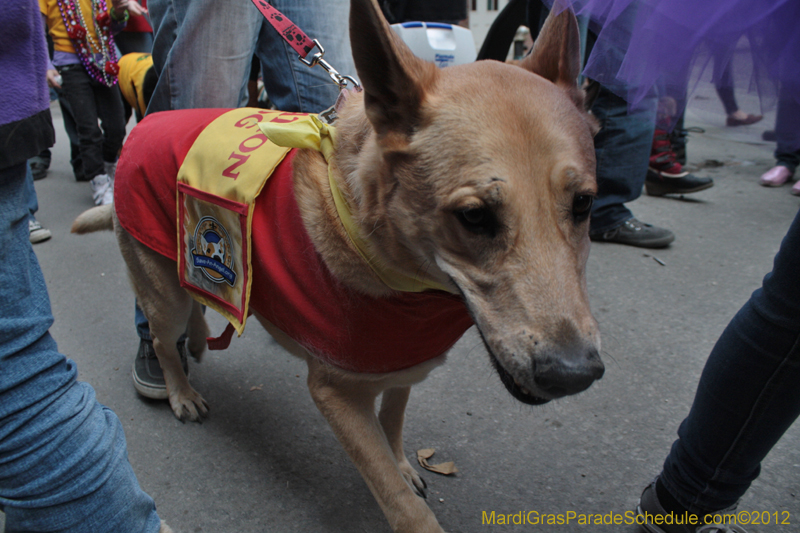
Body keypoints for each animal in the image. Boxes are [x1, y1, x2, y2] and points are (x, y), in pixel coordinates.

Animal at [73, 2, 600, 528]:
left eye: (585, 204)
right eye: (474, 216)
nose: (575, 375)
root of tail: (141, 129)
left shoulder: (403, 368)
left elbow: (392, 424)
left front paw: (401, 461)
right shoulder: (336, 395)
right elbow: (401, 503)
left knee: (199, 300)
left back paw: (202, 340)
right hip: (162, 295)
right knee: (166, 339)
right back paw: (179, 391)